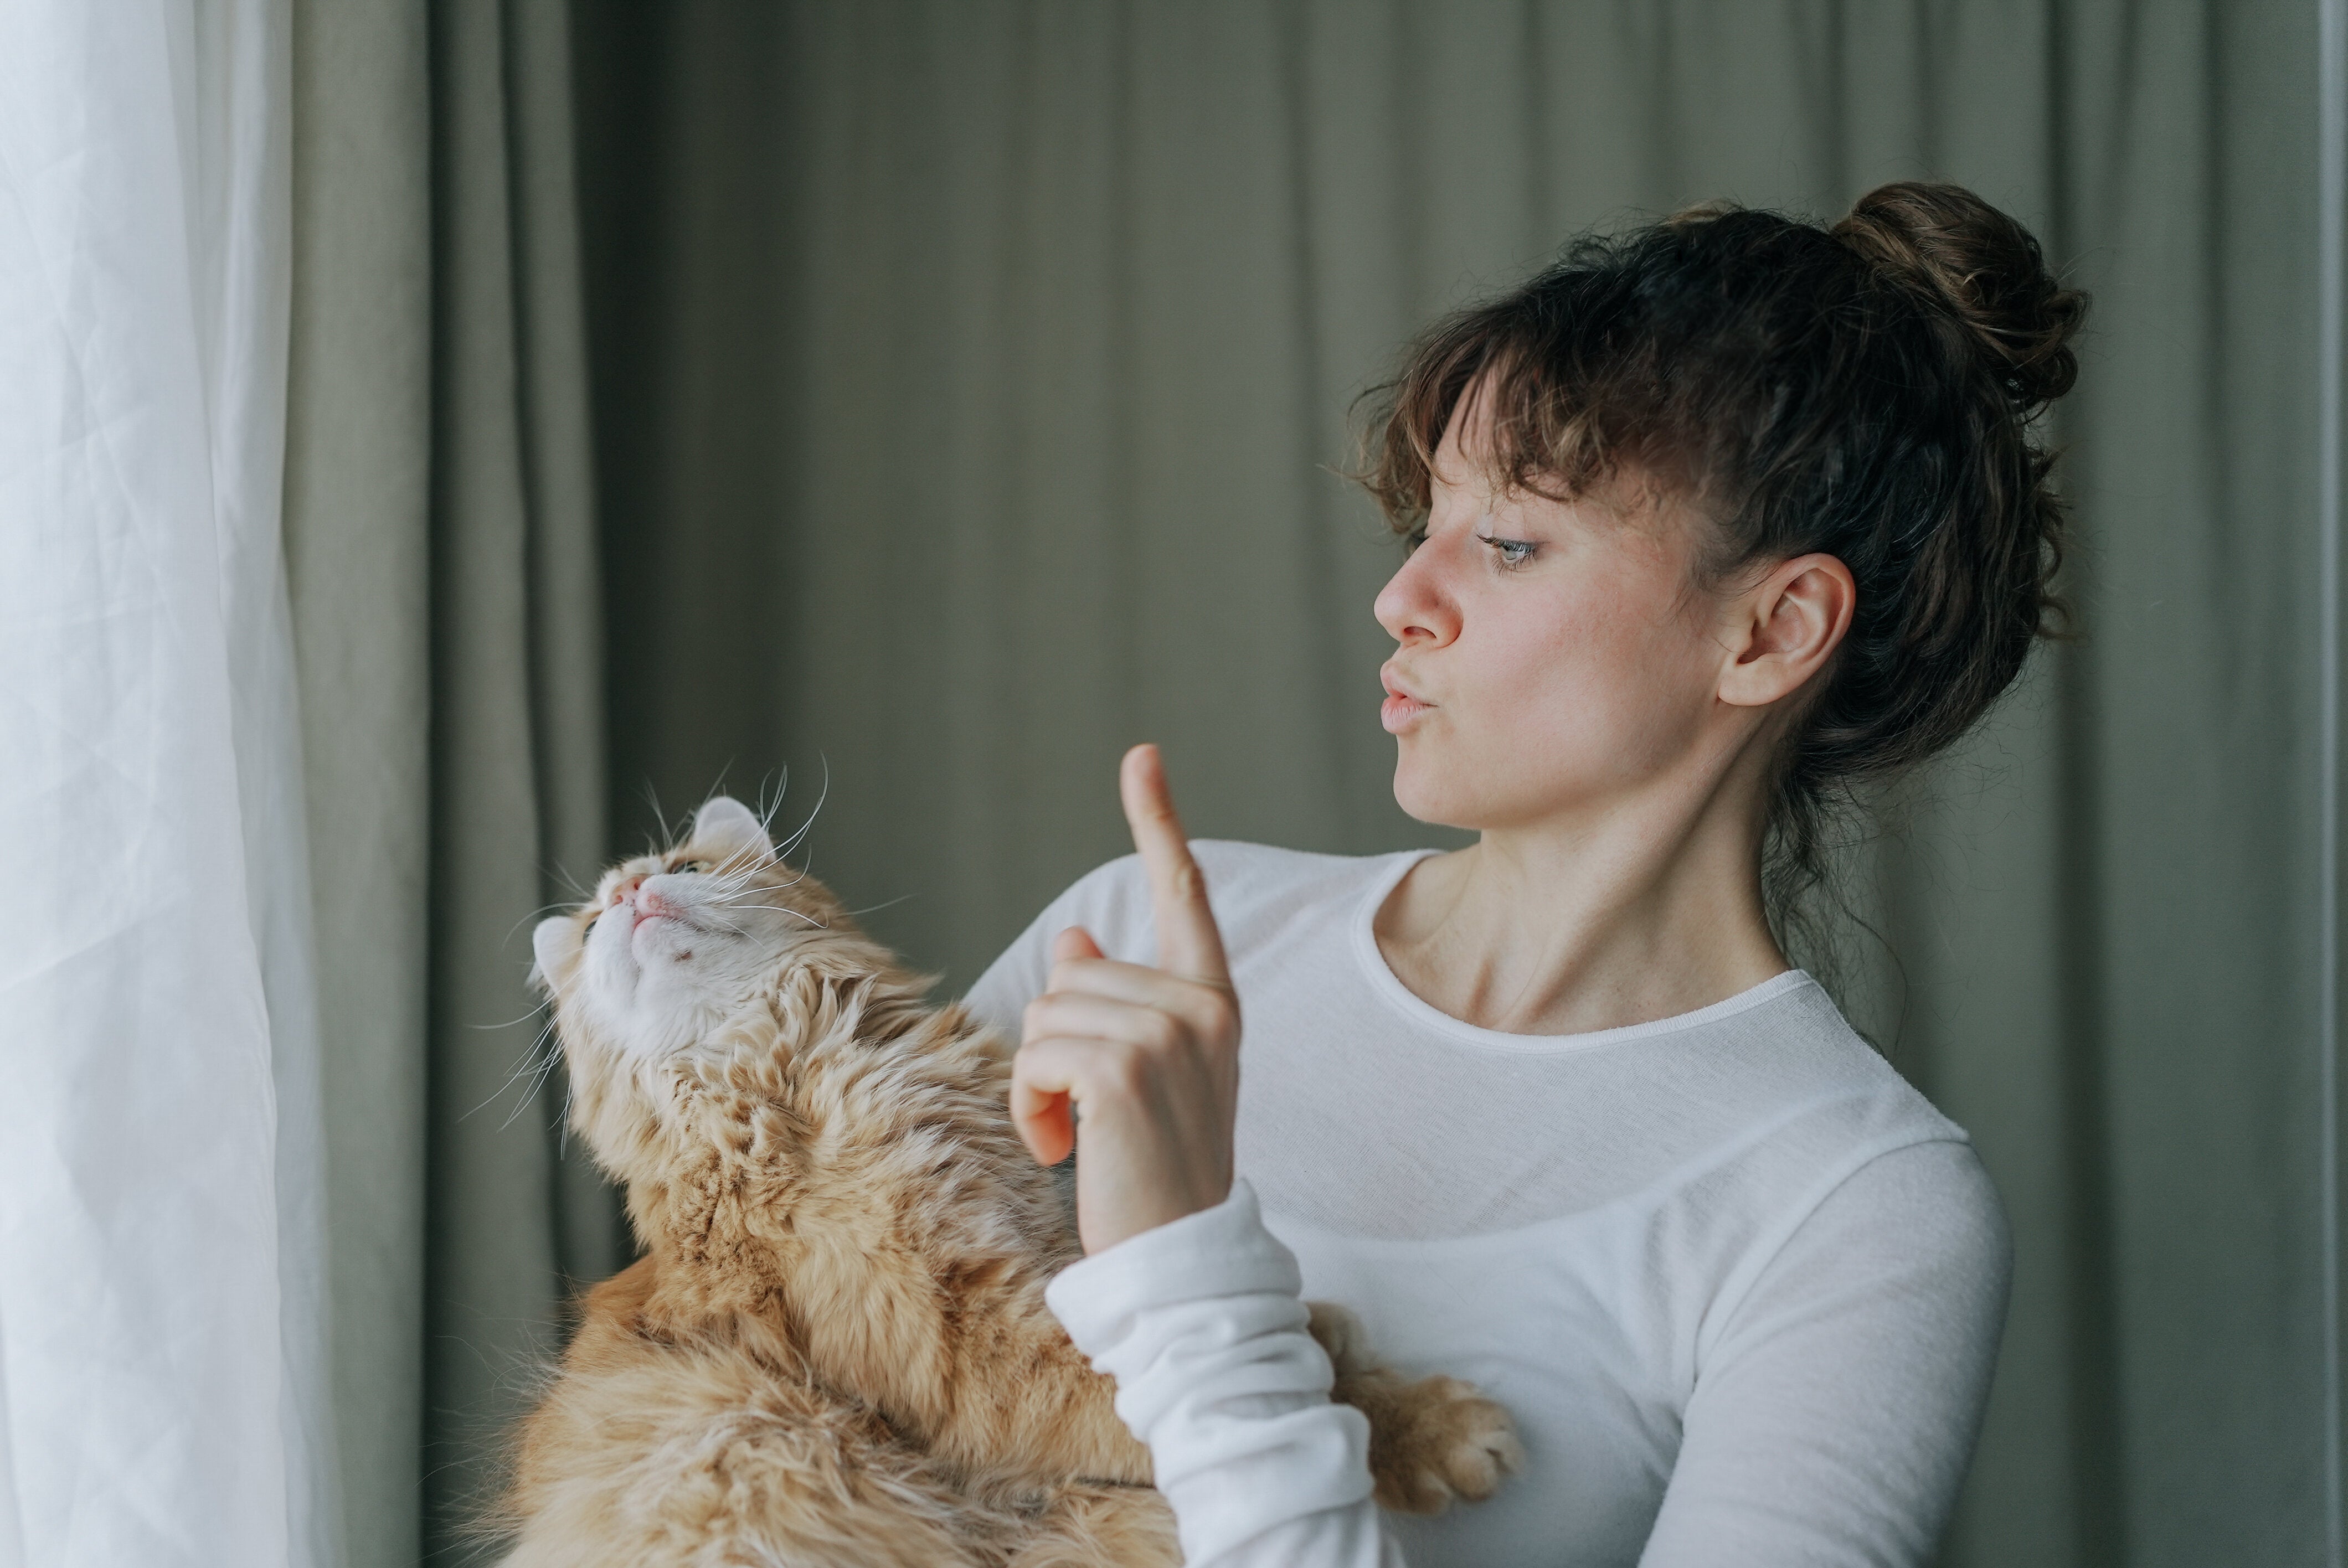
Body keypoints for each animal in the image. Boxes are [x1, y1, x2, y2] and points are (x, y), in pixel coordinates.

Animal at [501, 796, 1520, 1566]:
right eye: (591, 925)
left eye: (685, 864)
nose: (631, 891)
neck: (798, 1067)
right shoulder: (966, 1351)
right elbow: (1262, 1395)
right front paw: (1435, 1429)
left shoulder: (1045, 1254)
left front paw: (1343, 1351)